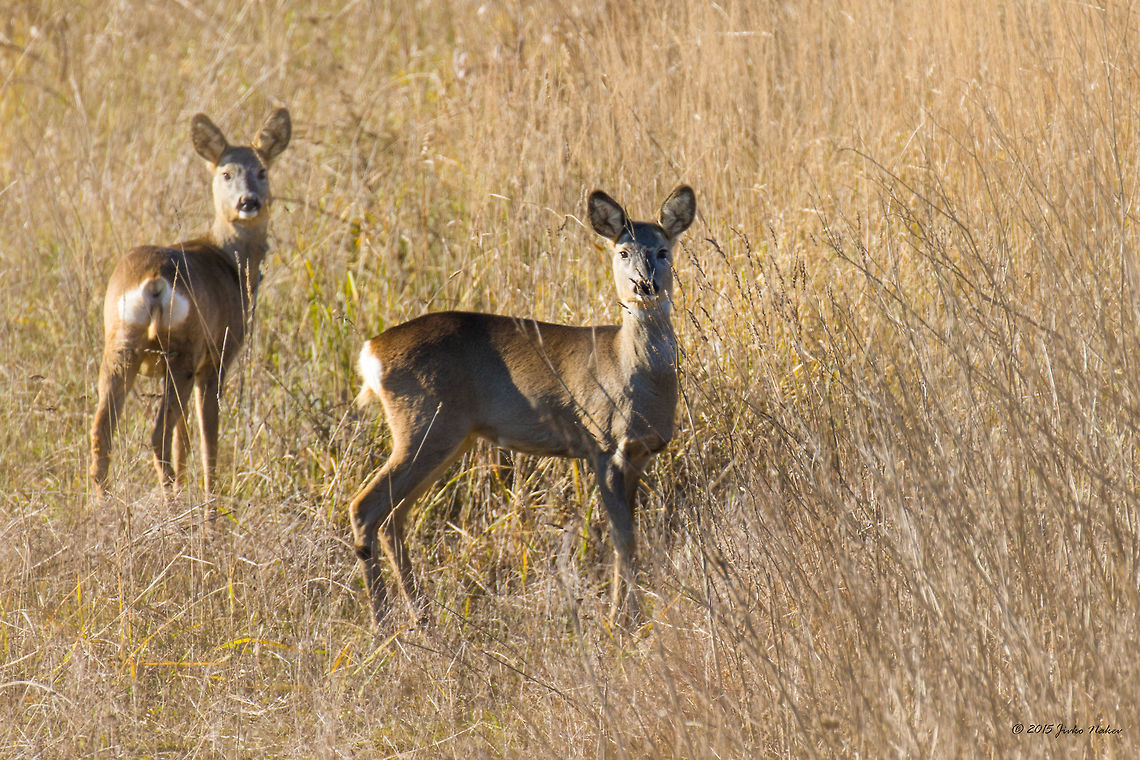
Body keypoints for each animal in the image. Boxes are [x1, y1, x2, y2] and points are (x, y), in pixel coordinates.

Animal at [89, 107, 291, 500]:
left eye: (262, 171)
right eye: (226, 173)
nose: (248, 202)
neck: (230, 261)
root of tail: (153, 280)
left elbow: (184, 441)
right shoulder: (218, 357)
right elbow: (207, 440)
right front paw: (212, 506)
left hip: (120, 342)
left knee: (103, 431)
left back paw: (103, 508)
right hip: (182, 350)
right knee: (158, 434)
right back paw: (173, 508)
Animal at [350, 185, 696, 628]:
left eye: (663, 251)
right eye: (622, 252)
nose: (645, 284)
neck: (630, 368)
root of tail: (370, 352)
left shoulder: (639, 454)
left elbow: (628, 538)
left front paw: (627, 616)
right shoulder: (604, 445)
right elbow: (623, 540)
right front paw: (622, 621)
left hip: (445, 438)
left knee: (392, 517)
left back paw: (421, 618)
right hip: (423, 425)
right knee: (366, 507)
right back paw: (384, 624)